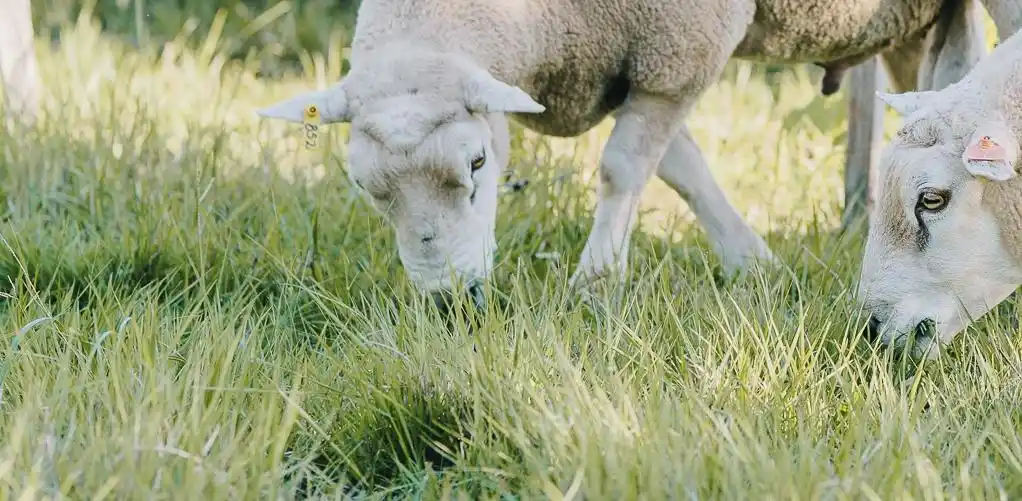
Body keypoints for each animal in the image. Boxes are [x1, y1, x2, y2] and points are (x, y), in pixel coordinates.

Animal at [257, 0, 1010, 310]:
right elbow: (680, 168)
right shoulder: (637, 65)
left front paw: (594, 286)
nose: (450, 302)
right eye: (367, 188)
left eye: (476, 166)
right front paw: (754, 264)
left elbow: (623, 169)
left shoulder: (677, 53)